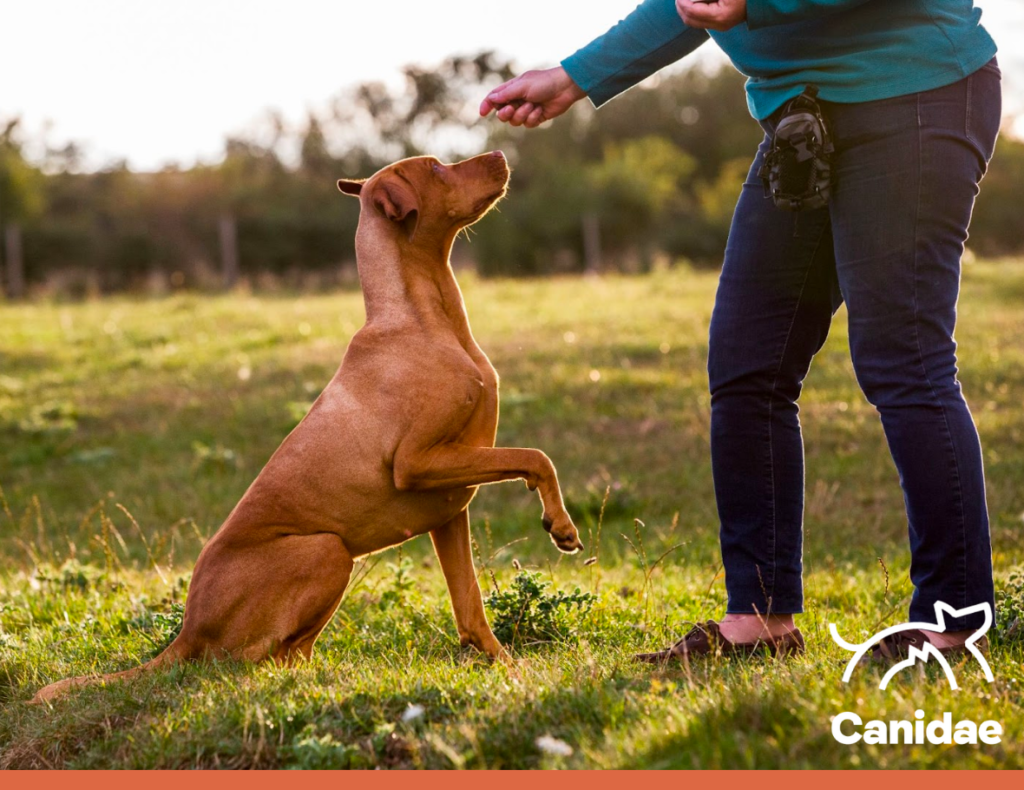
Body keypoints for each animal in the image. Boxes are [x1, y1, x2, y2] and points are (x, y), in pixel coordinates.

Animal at [34, 149, 585, 704]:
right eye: (434, 168)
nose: (500, 154)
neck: (422, 319)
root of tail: (187, 630)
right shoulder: (417, 462)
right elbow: (537, 457)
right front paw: (560, 524)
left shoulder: (450, 505)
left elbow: (470, 606)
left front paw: (508, 668)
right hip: (327, 550)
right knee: (252, 662)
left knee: (290, 653)